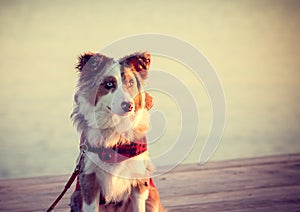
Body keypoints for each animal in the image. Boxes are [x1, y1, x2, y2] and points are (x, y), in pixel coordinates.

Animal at [69, 51, 165, 212]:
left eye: (130, 83)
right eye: (109, 84)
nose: (128, 106)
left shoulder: (139, 180)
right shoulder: (89, 178)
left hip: (152, 197)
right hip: (76, 197)